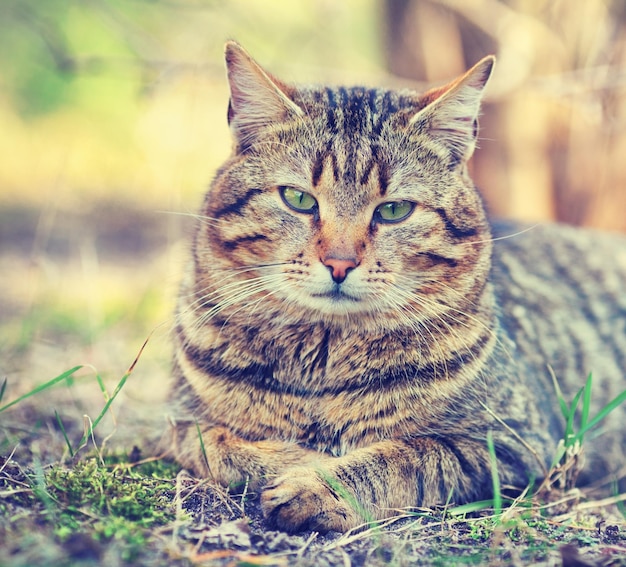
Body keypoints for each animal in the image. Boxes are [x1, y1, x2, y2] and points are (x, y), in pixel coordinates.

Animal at [165, 42, 624, 536]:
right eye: (299, 199)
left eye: (394, 210)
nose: (340, 263)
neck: (322, 364)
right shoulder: (174, 418)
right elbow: (215, 443)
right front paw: (297, 460)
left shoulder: (513, 442)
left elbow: (405, 456)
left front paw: (318, 483)